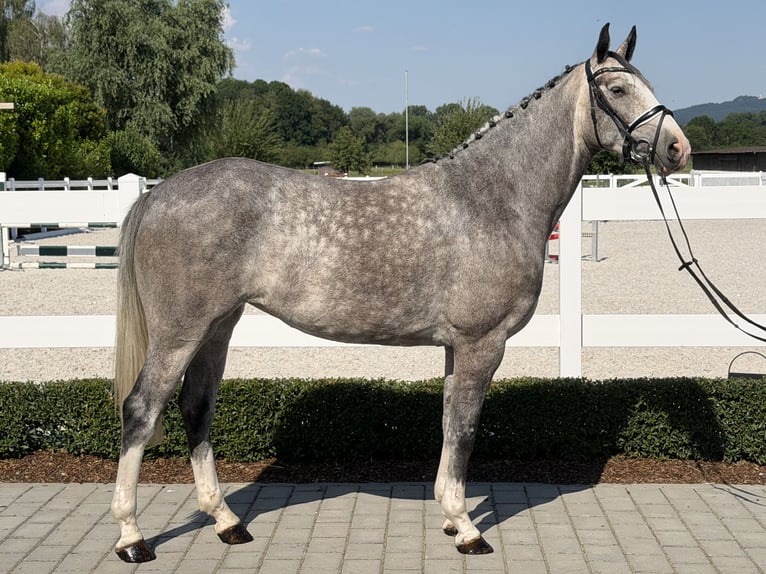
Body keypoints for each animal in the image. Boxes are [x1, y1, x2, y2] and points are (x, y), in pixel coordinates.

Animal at [111, 23, 690, 562]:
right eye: (616, 89)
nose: (677, 148)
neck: (493, 198)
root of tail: (159, 194)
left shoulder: (457, 347)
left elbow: (449, 424)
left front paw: (452, 519)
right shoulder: (482, 344)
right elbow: (465, 430)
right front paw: (469, 529)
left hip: (217, 326)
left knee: (195, 407)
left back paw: (226, 521)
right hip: (180, 331)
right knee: (141, 409)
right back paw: (132, 537)